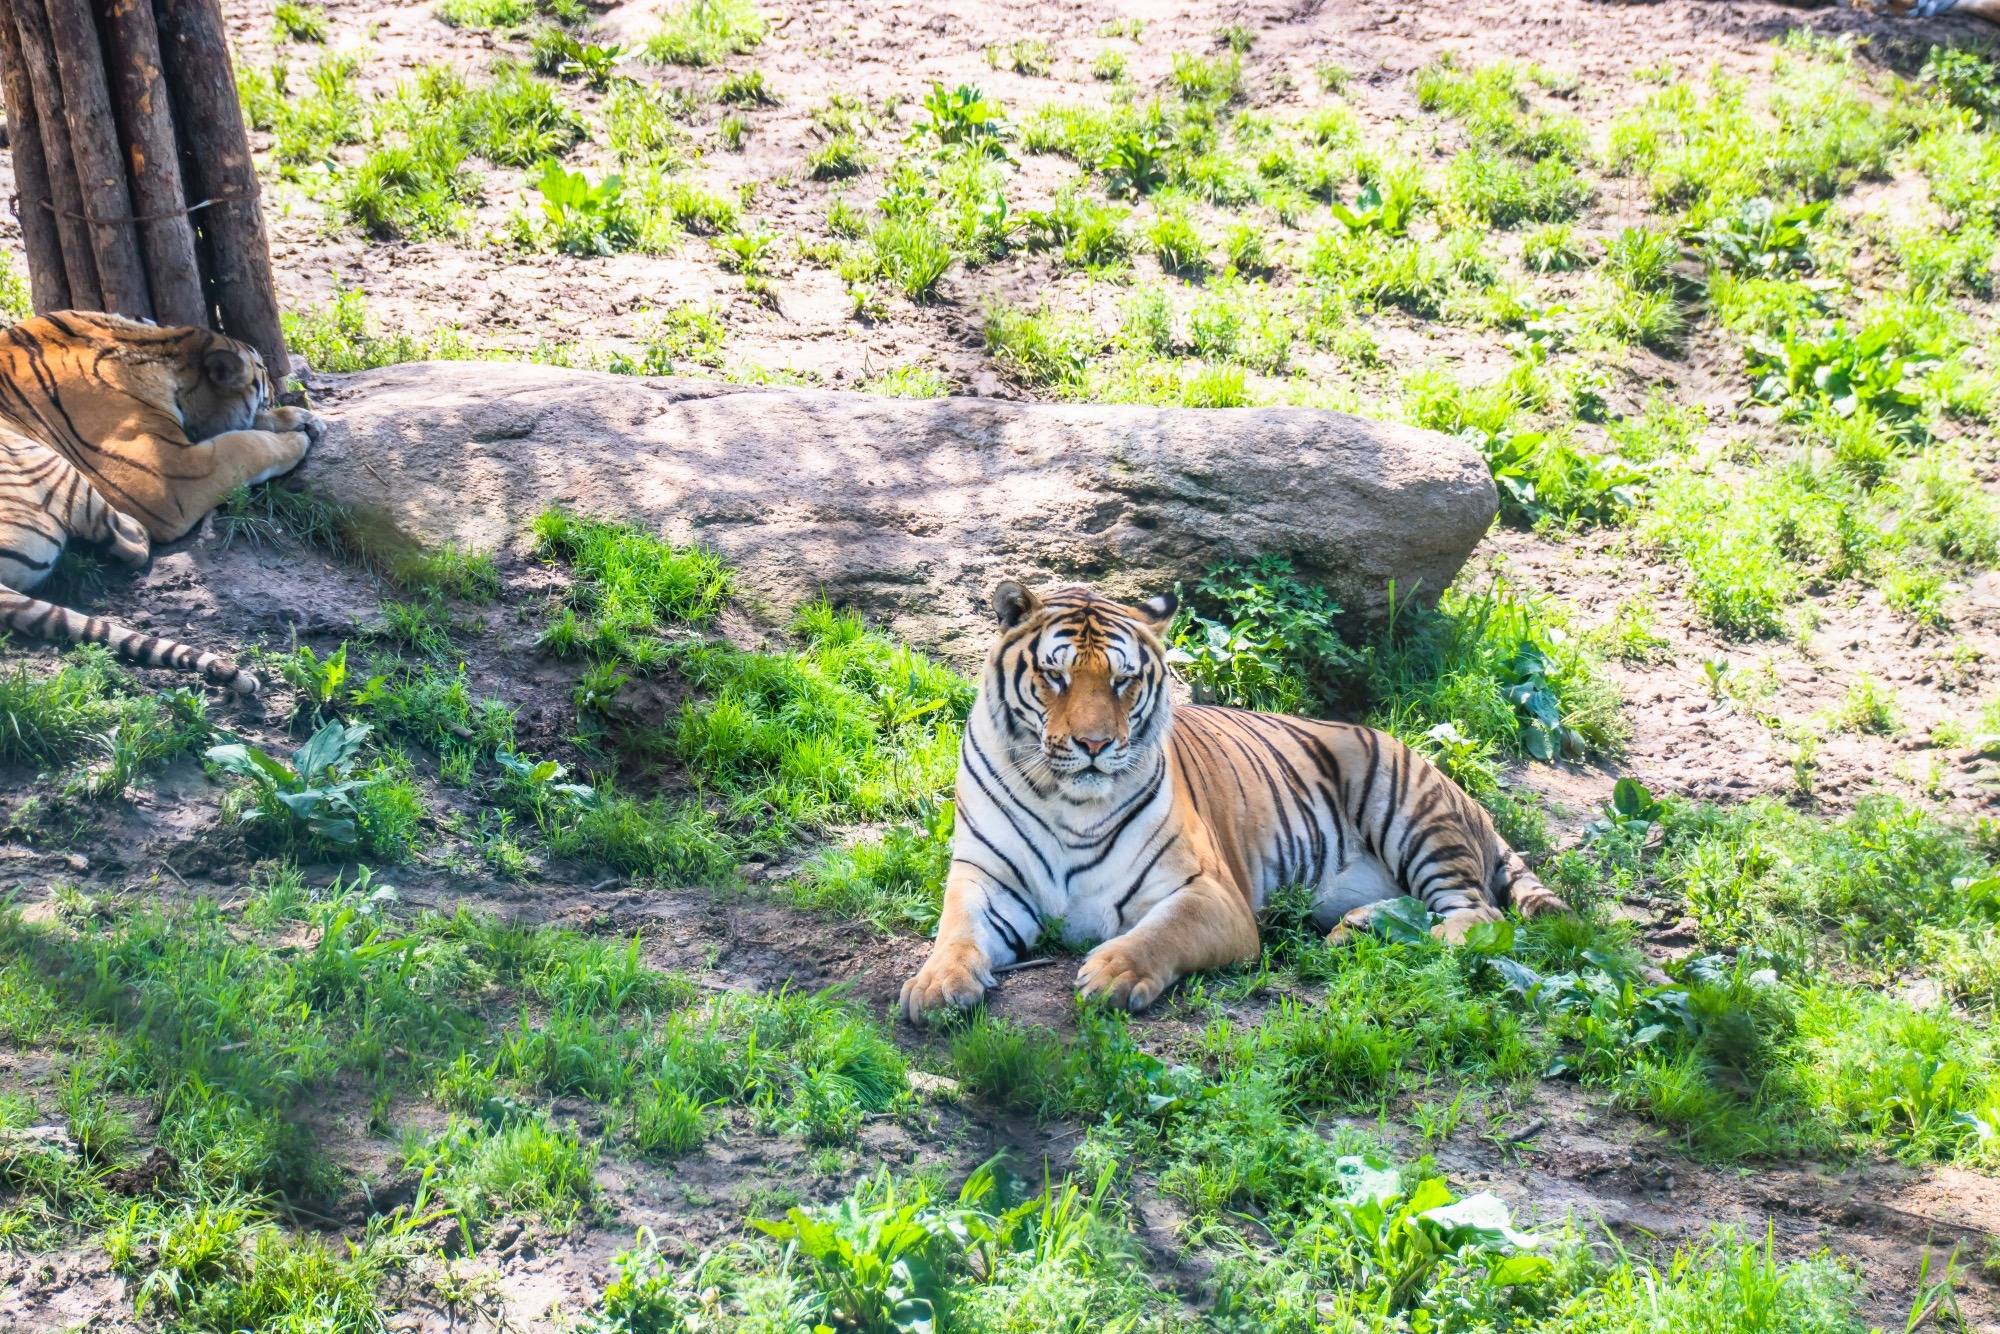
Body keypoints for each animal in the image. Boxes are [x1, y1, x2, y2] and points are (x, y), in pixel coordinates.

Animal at [0, 310, 320, 696]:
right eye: (266, 392)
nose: (278, 398)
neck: (166, 348)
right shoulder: (166, 477)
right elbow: (244, 445)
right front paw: (297, 437)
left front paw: (301, 418)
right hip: (38, 456)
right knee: (131, 544)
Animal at [900, 576, 1568, 1024]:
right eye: (1055, 676)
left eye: (1123, 680)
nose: (1094, 745)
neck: (1069, 803)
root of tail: (1462, 791)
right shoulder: (987, 879)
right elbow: (956, 931)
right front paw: (934, 984)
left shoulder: (1211, 894)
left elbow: (1159, 934)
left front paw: (1113, 972)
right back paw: (1358, 930)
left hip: (1412, 818)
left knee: (1479, 917)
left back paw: (1397, 942)